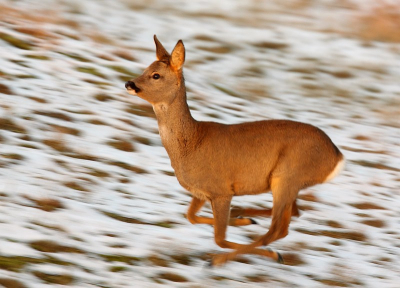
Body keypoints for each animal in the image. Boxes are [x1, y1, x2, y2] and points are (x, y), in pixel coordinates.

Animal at [124, 36, 344, 268]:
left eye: (156, 75)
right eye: (146, 68)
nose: (130, 83)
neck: (192, 142)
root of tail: (337, 157)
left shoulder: (221, 190)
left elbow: (218, 238)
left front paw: (218, 255)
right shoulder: (202, 192)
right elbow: (191, 216)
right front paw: (242, 220)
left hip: (287, 176)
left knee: (277, 229)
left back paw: (240, 256)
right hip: (288, 183)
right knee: (293, 214)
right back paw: (245, 216)